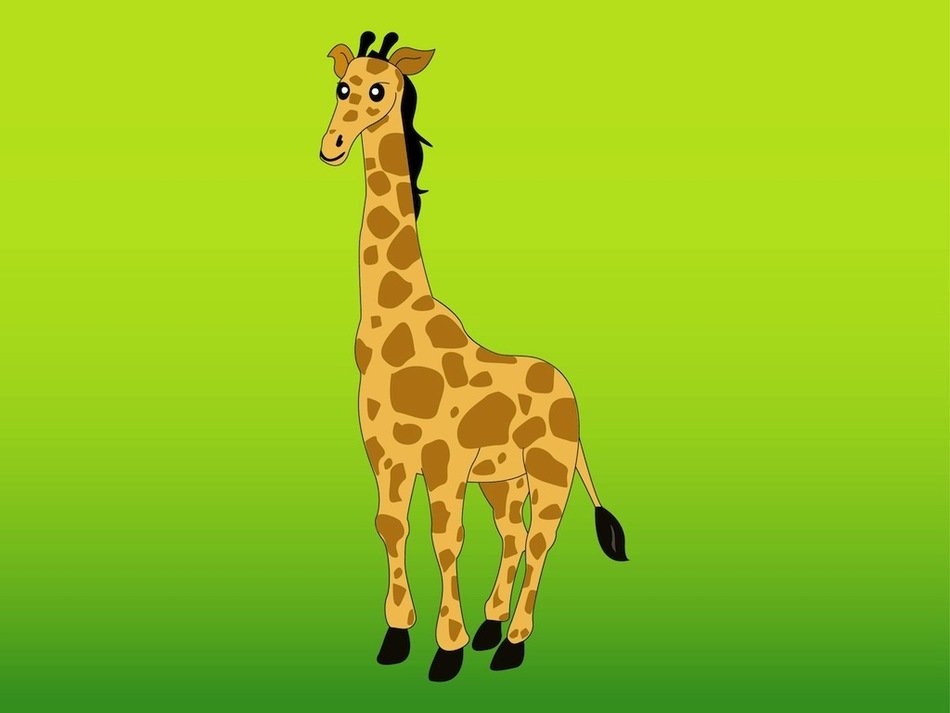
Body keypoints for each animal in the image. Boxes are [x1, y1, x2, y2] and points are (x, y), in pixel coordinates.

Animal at [319, 31, 628, 682]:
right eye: (340, 87)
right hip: (505, 477)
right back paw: (492, 629)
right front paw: (397, 638)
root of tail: (569, 388)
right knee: (513, 533)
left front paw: (447, 650)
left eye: (377, 90)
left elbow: (445, 538)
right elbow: (391, 527)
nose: (330, 146)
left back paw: (511, 644)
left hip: (550, 467)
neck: (393, 325)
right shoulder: (385, 453)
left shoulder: (444, 458)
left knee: (540, 538)